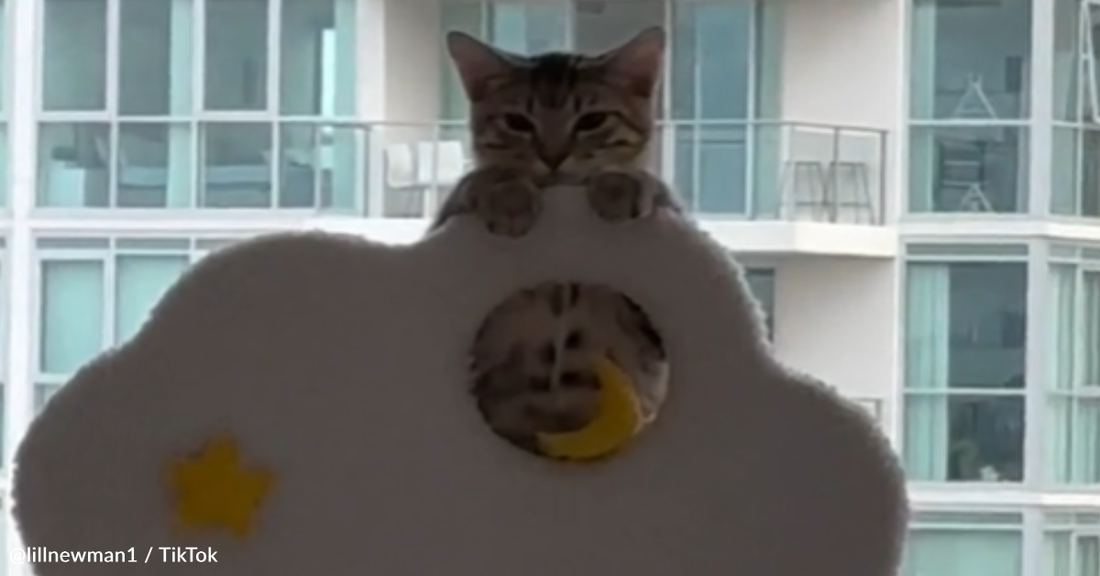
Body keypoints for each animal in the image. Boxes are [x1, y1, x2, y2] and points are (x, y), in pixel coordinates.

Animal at [429, 26, 677, 457]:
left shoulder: (651, 345)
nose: (553, 156)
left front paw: (621, 185)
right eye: (517, 122)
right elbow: (475, 182)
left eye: (592, 120)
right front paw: (508, 196)